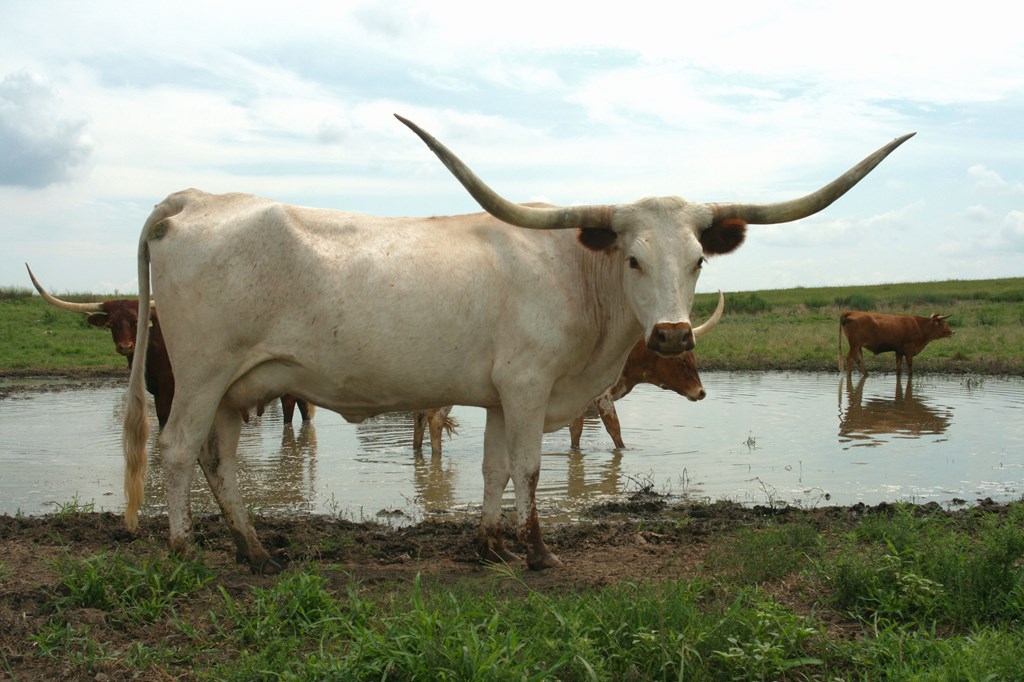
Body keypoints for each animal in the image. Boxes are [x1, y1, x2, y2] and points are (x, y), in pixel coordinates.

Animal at [26, 264, 313, 427]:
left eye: (136, 321)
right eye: (111, 324)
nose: (126, 346)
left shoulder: (169, 387)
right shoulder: (155, 388)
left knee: (290, 408)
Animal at [122, 114, 912, 573]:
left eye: (697, 260)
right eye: (632, 258)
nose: (670, 333)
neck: (578, 277)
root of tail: (195, 199)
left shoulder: (502, 395)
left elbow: (493, 470)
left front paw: (489, 545)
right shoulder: (531, 387)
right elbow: (531, 469)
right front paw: (536, 553)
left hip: (238, 386)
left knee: (220, 462)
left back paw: (254, 551)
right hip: (201, 375)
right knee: (177, 450)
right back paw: (184, 549)